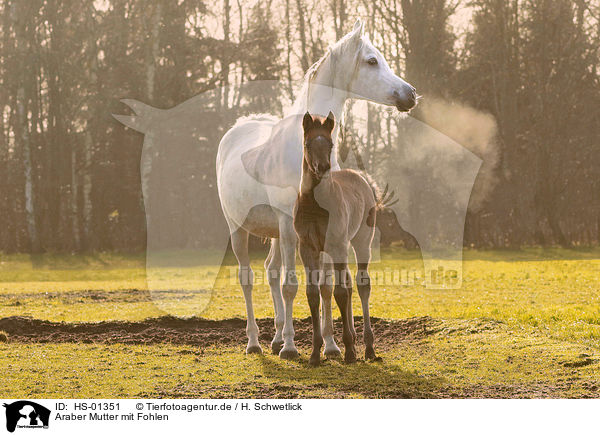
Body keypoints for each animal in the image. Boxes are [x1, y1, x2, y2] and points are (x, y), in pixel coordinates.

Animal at [294, 111, 380, 364]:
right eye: (308, 144)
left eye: (330, 144)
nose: (322, 167)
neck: (315, 205)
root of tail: (359, 177)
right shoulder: (308, 249)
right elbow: (313, 294)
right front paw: (315, 354)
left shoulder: (337, 245)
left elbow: (340, 292)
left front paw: (350, 351)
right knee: (349, 284)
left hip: (360, 242)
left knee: (361, 285)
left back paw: (368, 347)